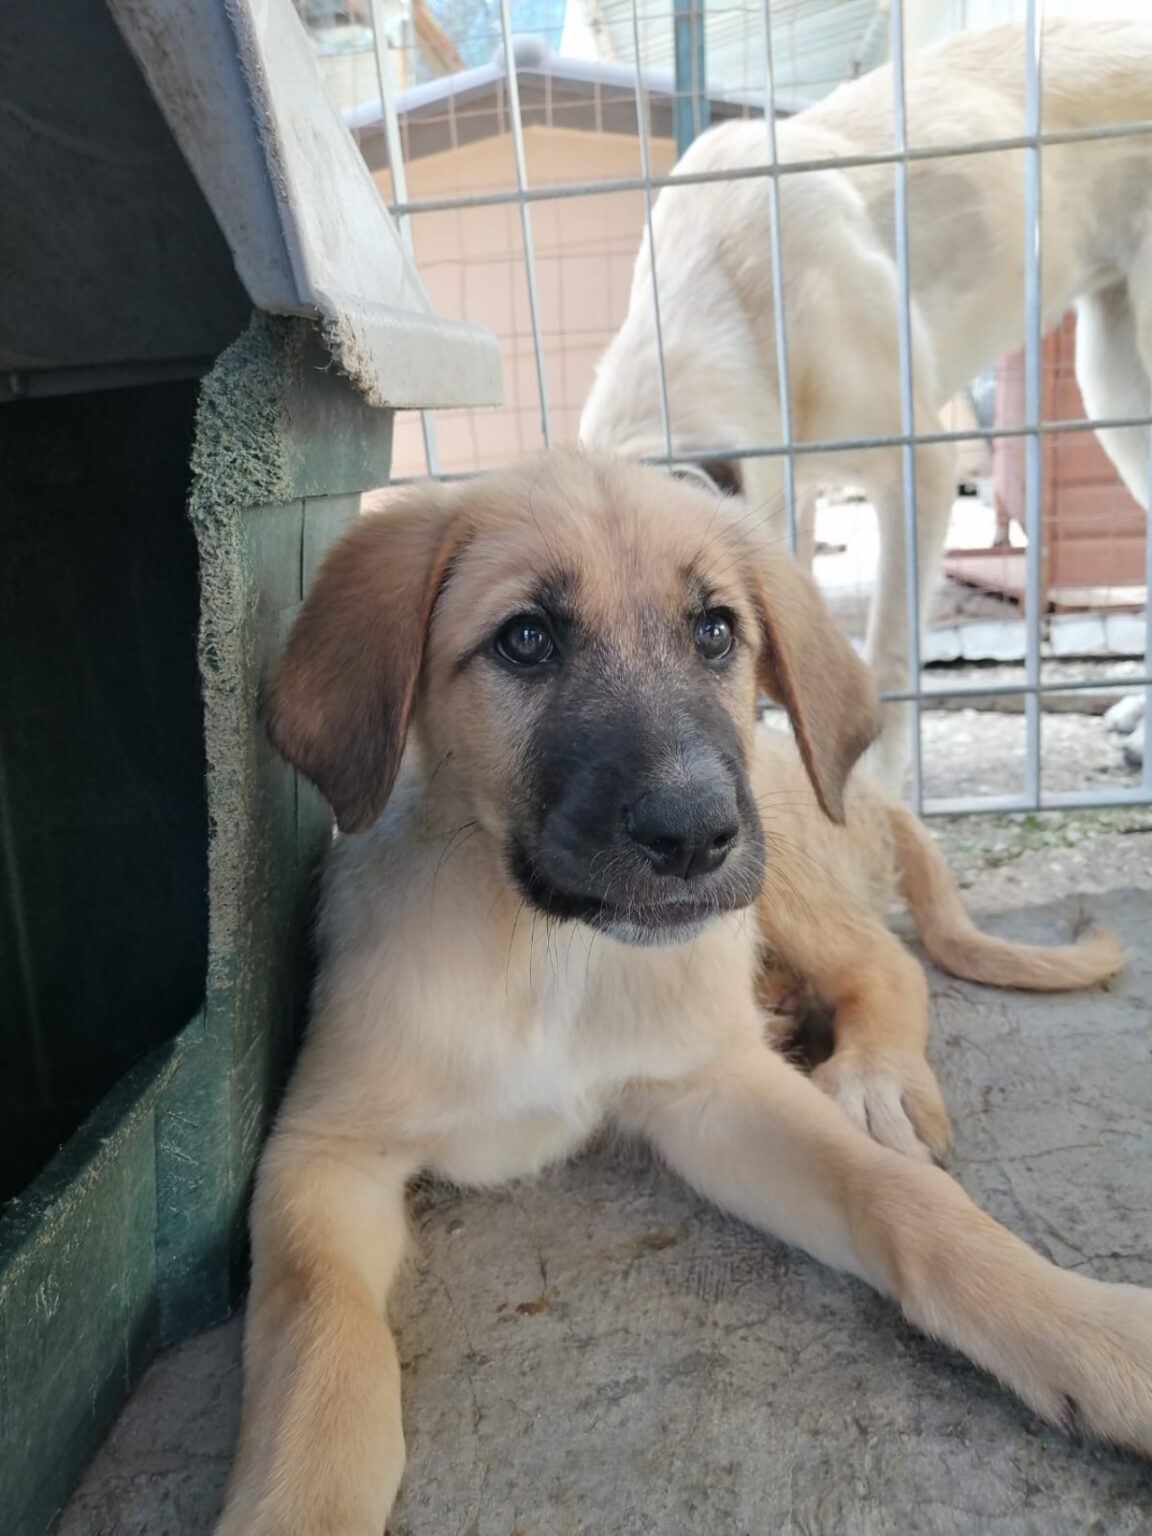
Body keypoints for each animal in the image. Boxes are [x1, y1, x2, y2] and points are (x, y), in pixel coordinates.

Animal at [215, 448, 1148, 1529]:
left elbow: (903, 1200)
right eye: (525, 639)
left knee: (886, 963)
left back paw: (874, 1077)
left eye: (716, 632)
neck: (551, 960)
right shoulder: (321, 1153)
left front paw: (1091, 1331)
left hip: (785, 869)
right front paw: (302, 1501)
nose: (696, 834)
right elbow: (323, 1337)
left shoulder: (711, 1091)